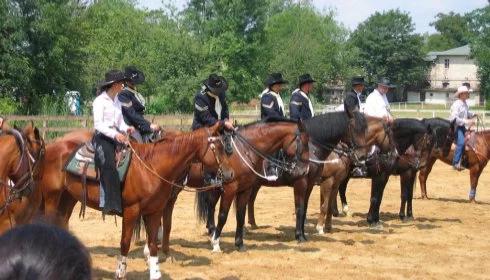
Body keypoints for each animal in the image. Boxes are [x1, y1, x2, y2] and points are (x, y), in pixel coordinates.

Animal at [38, 123, 234, 278]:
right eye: (218, 147)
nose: (230, 174)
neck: (152, 166)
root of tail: (52, 147)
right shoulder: (132, 211)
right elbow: (125, 241)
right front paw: (120, 272)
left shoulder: (154, 211)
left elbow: (153, 241)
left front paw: (155, 271)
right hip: (52, 197)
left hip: (68, 198)